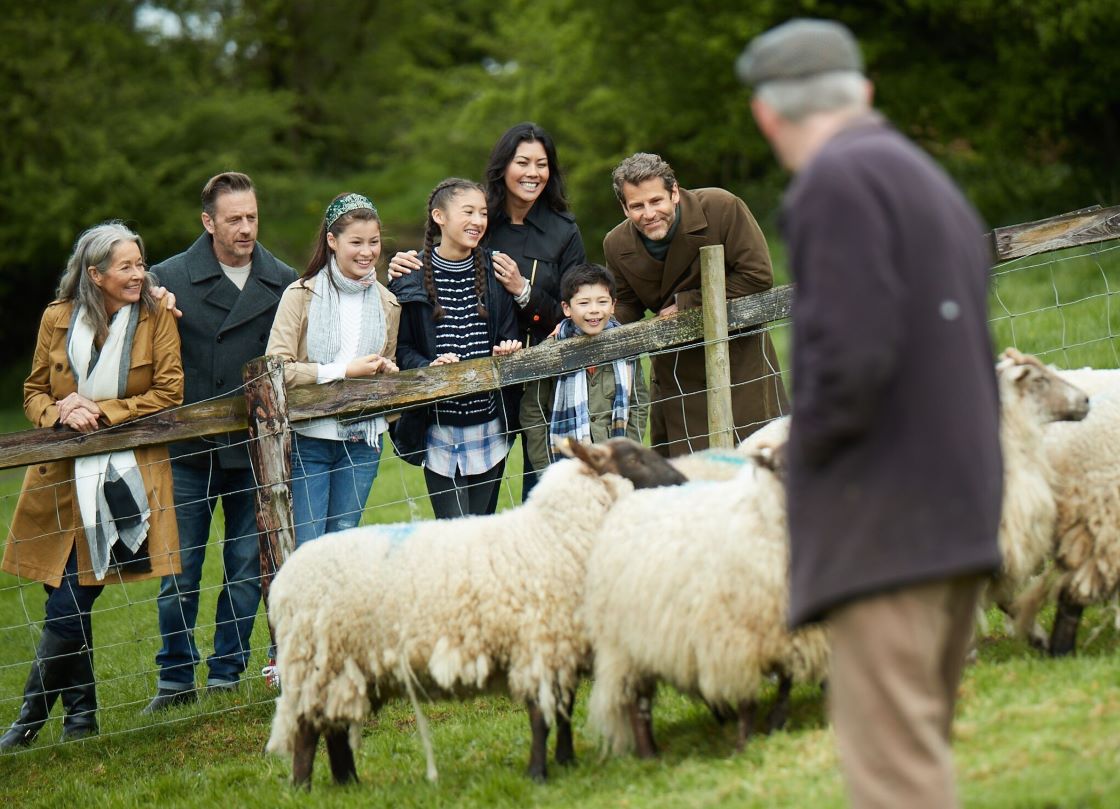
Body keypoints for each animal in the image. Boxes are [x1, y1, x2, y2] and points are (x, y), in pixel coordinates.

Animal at [263, 436, 685, 784]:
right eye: (634, 457)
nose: (681, 480)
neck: (552, 537)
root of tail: (282, 582)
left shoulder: (560, 646)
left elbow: (563, 710)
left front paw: (566, 761)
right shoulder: (536, 645)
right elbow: (540, 718)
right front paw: (538, 774)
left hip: (342, 669)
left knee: (332, 727)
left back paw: (348, 783)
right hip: (316, 663)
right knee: (306, 732)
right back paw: (303, 788)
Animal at [577, 441, 833, 757]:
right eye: (783, 467)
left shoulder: (787, 634)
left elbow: (786, 681)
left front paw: (775, 722)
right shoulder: (735, 641)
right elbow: (748, 700)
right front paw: (743, 744)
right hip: (624, 646)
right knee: (639, 702)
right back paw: (650, 755)